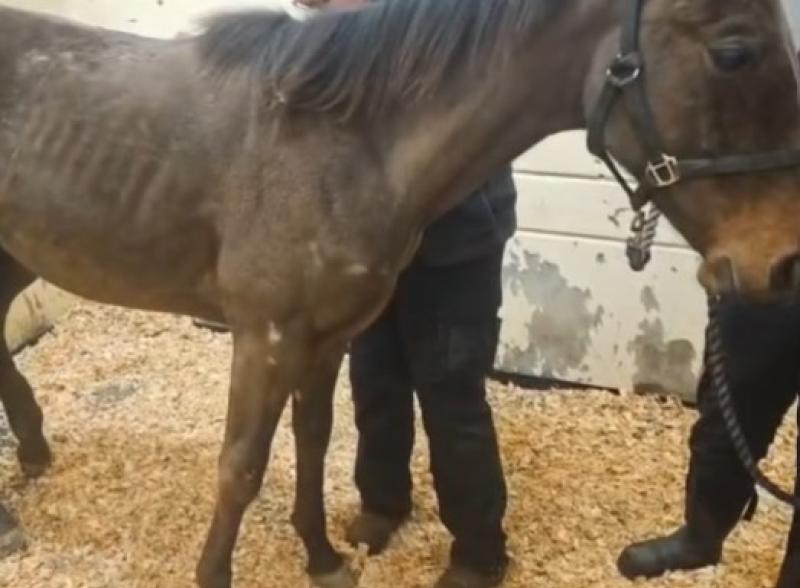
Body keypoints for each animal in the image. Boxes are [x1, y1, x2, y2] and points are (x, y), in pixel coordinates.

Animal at [1, 0, 799, 587]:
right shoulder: (266, 336)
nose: (783, 262)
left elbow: (314, 442)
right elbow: (241, 466)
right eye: (734, 52)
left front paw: (323, 559)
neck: (352, 143)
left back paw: (31, 458)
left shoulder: (324, 339)